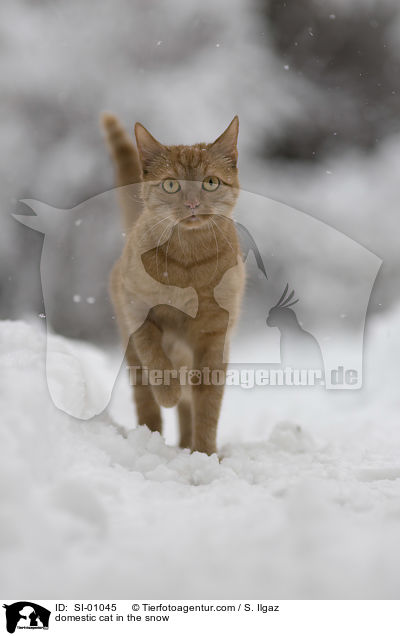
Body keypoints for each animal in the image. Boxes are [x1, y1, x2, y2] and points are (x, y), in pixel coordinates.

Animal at [101, 113, 245, 452]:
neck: (188, 264)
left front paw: (204, 454)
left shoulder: (214, 336)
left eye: (210, 182)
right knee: (146, 399)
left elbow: (207, 402)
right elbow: (156, 360)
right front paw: (169, 392)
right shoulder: (139, 312)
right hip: (131, 352)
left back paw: (184, 446)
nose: (192, 204)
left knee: (188, 404)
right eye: (171, 184)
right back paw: (149, 440)